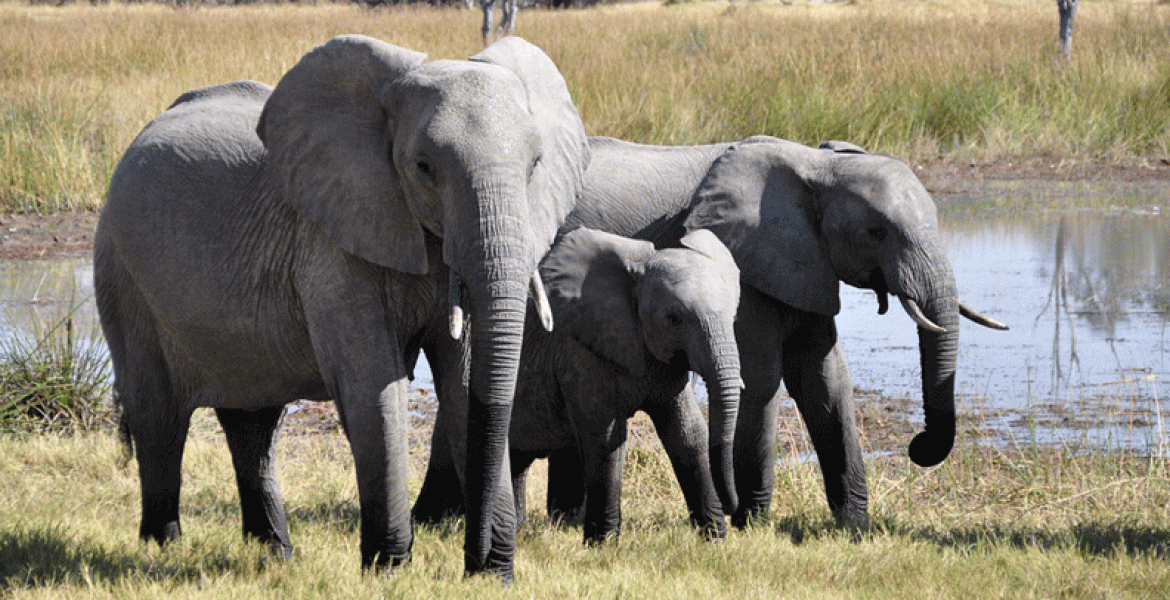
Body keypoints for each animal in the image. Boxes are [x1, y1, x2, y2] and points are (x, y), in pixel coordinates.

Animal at [94, 35, 589, 579]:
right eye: (423, 167)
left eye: (536, 165)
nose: (477, 560)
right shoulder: (330, 245)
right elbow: (373, 385)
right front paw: (388, 570)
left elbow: (463, 385)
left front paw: (491, 575)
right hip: (121, 271)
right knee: (158, 416)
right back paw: (162, 548)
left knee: (253, 423)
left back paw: (276, 554)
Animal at [413, 135, 1007, 532]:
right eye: (876, 231)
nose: (918, 447)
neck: (817, 164)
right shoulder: (750, 264)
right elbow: (763, 378)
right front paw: (753, 523)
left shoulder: (805, 266)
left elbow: (825, 380)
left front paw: (853, 529)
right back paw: (442, 523)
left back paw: (555, 521)